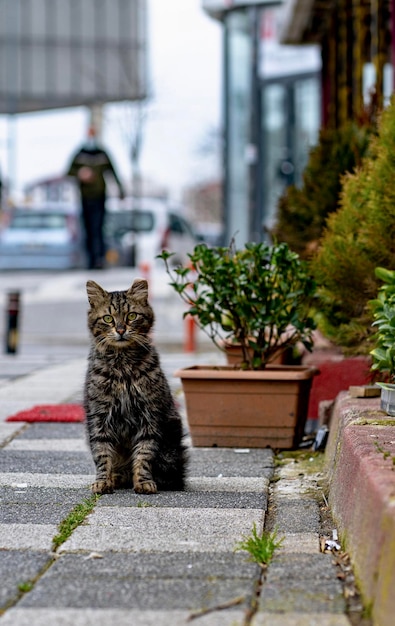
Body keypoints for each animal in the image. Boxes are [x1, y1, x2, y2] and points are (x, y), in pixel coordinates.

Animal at [84, 278, 189, 492]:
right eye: (108, 318)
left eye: (131, 316)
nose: (121, 330)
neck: (123, 365)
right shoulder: (99, 416)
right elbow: (102, 453)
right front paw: (102, 482)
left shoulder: (150, 416)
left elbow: (143, 455)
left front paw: (143, 481)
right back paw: (116, 478)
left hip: (170, 445)